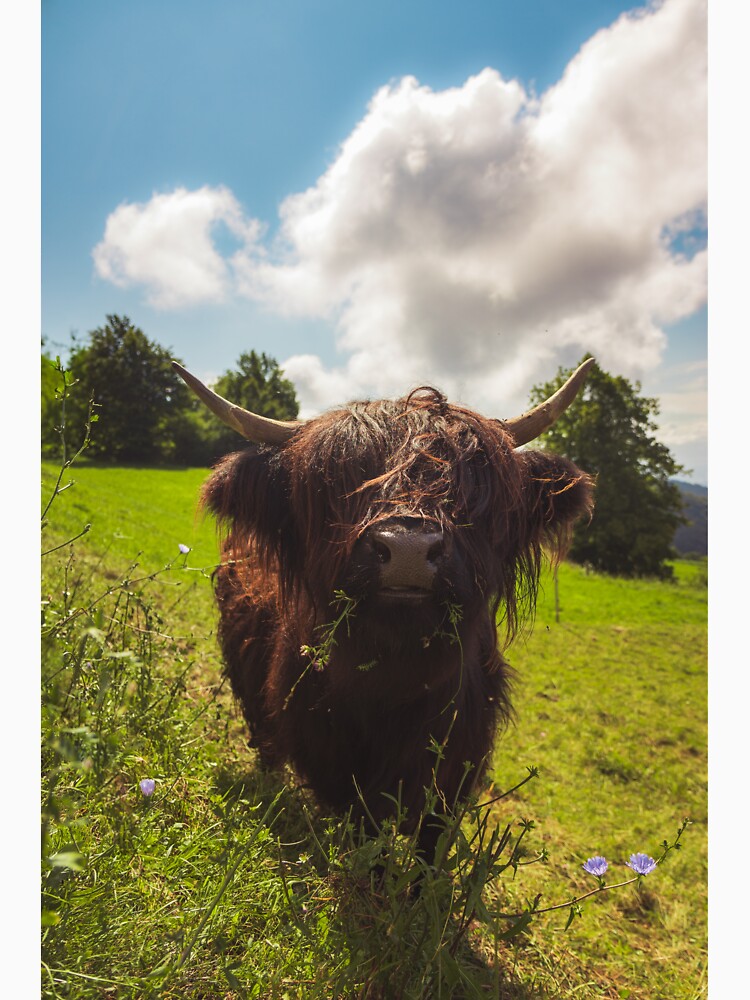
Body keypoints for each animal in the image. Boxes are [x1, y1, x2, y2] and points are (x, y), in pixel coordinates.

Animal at [173, 359, 594, 866]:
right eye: (337, 481)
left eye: (471, 485)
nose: (408, 549)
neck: (395, 678)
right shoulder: (331, 758)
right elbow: (363, 829)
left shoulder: (457, 760)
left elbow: (431, 842)